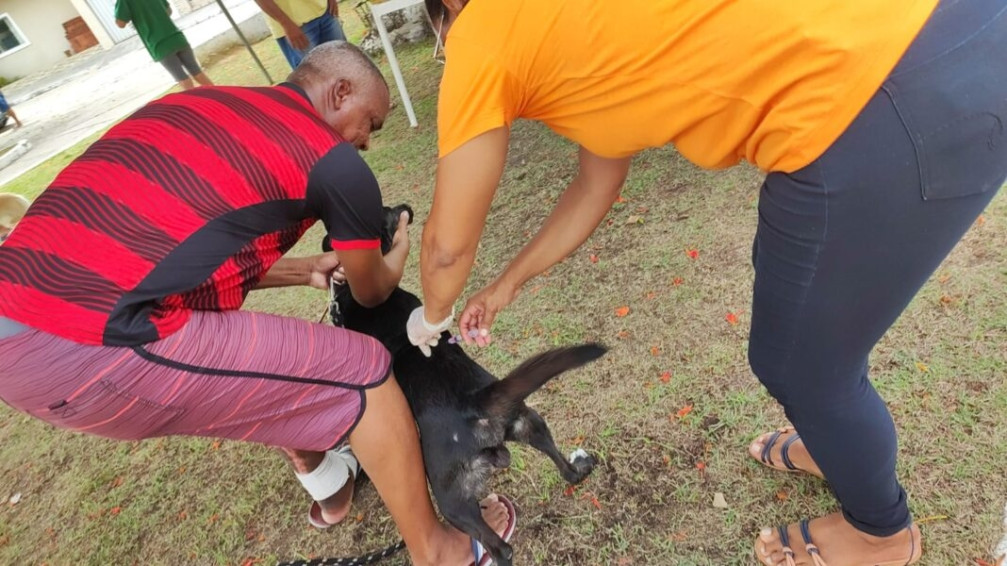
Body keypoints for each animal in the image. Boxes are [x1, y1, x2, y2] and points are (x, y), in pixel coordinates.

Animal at [326, 203, 600, 563]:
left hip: (451, 500)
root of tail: (476, 404)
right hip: (530, 422)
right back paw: (579, 468)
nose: (403, 208)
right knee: (564, 468)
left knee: (501, 548)